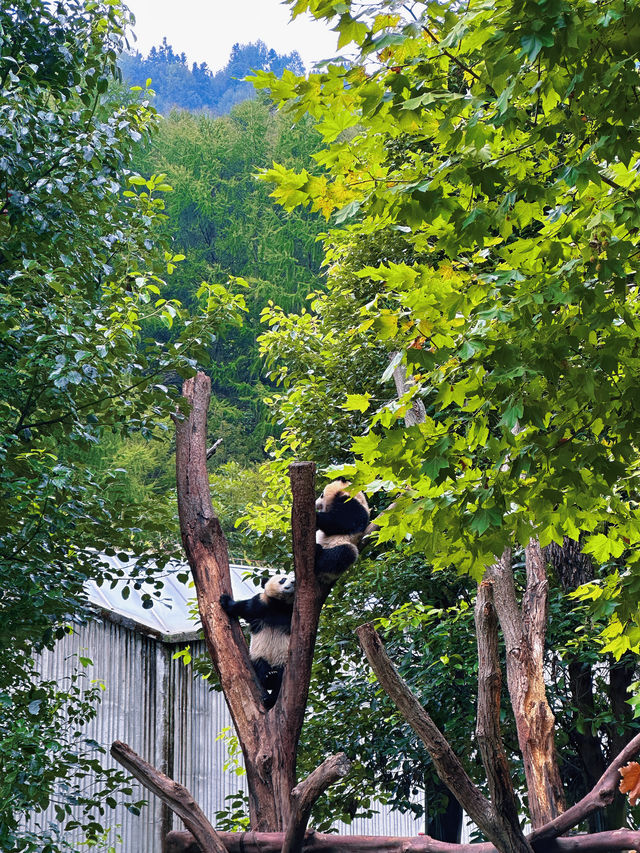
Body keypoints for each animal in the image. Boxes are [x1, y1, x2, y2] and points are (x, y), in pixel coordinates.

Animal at [218, 568, 292, 708]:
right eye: (283, 579)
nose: (293, 582)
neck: (279, 605)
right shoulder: (260, 604)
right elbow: (243, 607)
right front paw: (225, 600)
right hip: (259, 656)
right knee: (261, 667)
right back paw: (268, 676)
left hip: (282, 660)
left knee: (279, 681)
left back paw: (270, 695)